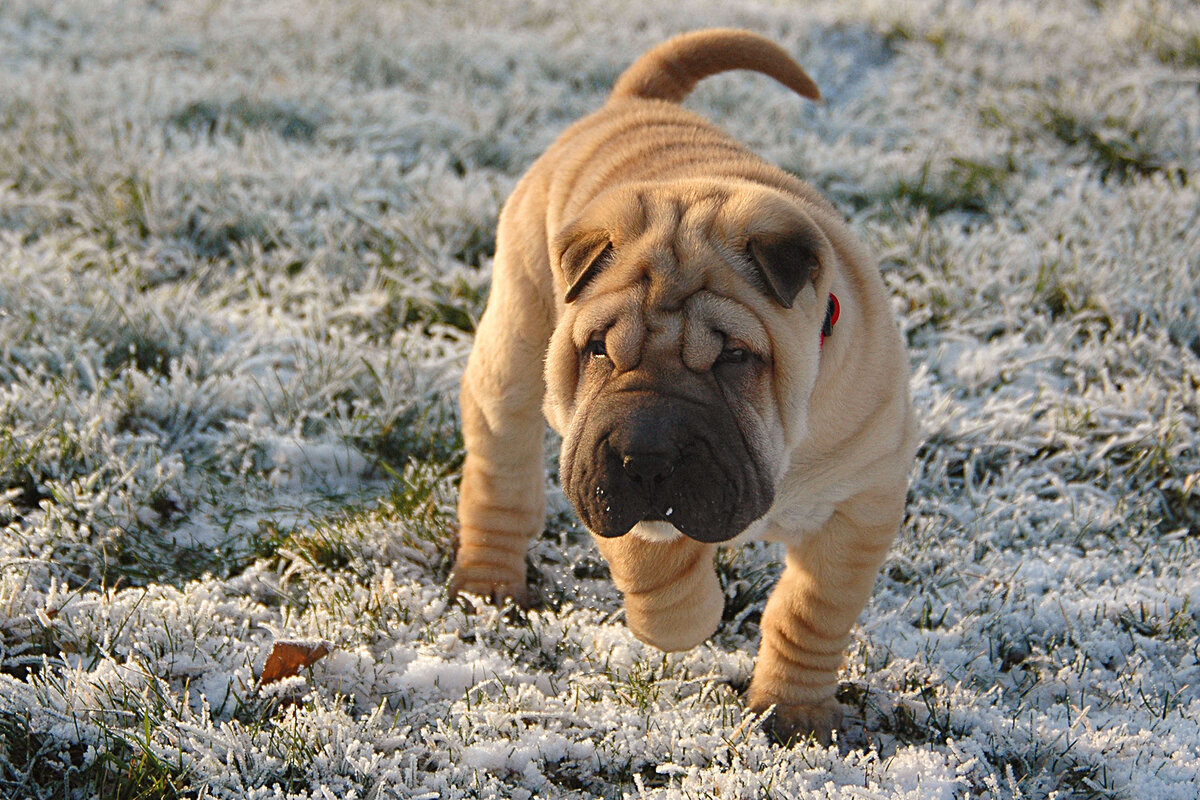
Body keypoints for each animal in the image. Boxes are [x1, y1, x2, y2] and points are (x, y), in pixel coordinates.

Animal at [451, 29, 916, 743]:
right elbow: (656, 565)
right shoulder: (599, 467)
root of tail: (635, 103)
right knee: (499, 476)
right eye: (597, 350)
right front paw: (689, 619)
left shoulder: (862, 503)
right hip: (514, 346)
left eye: (734, 357)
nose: (646, 457)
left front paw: (796, 712)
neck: (786, 448)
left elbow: (811, 612)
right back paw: (488, 583)